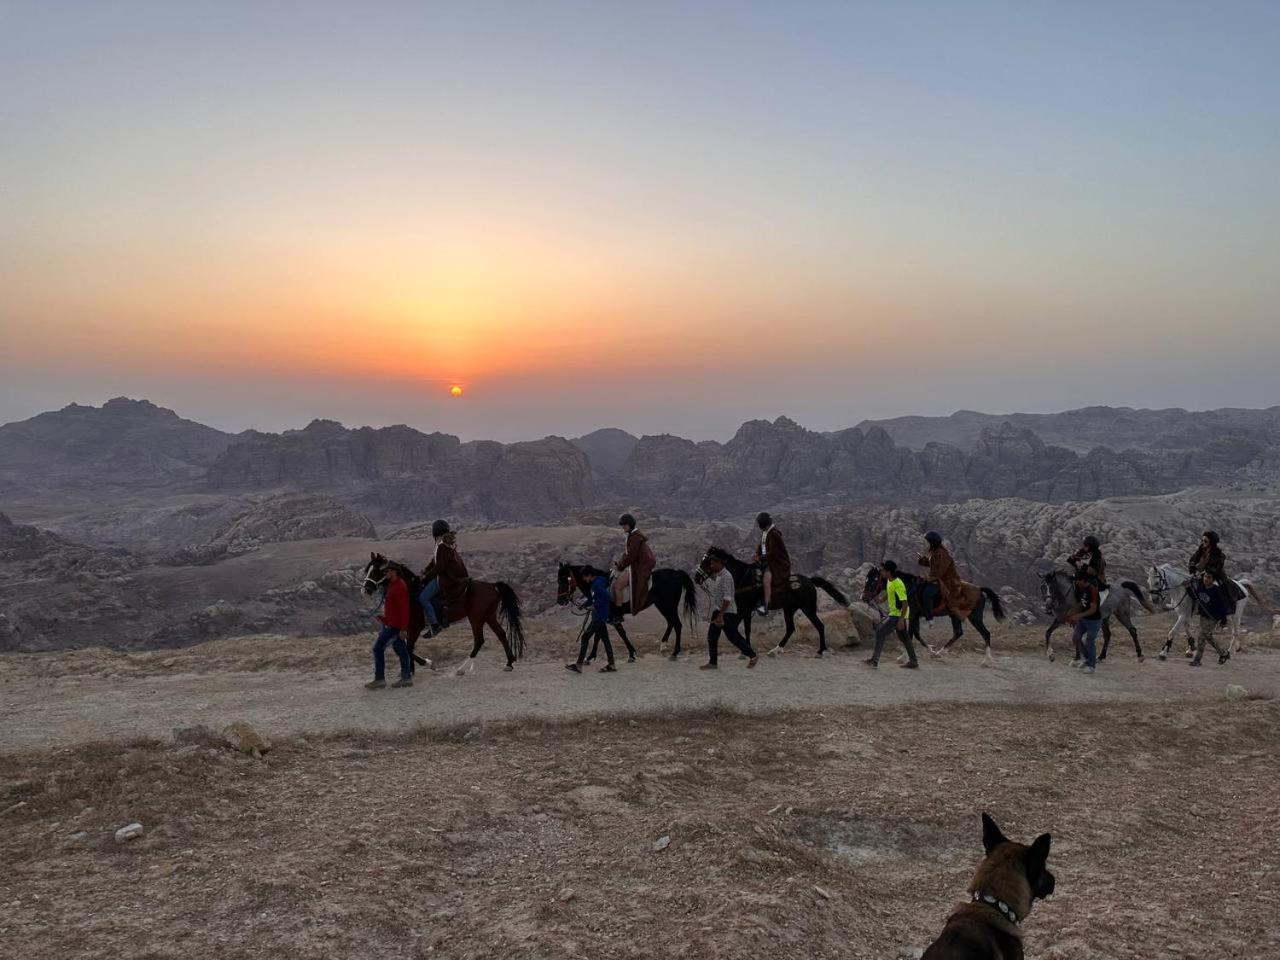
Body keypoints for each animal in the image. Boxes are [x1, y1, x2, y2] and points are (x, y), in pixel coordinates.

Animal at [360, 552, 524, 680]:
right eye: (368, 569)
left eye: (378, 570)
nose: (366, 589)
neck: (409, 593)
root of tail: (492, 586)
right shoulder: (407, 627)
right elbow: (407, 648)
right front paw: (411, 670)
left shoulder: (416, 627)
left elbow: (409, 648)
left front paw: (427, 663)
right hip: (489, 616)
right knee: (501, 634)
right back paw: (509, 663)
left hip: (476, 618)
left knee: (479, 640)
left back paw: (461, 669)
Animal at [558, 563, 701, 660]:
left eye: (564, 579)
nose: (561, 601)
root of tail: (677, 573)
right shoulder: (602, 616)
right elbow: (599, 635)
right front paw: (591, 656)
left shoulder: (610, 616)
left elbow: (620, 634)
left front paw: (632, 653)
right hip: (662, 606)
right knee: (671, 622)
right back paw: (663, 644)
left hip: (668, 606)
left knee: (677, 624)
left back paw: (675, 652)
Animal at [701, 547, 849, 660]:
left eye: (706, 561)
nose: (697, 577)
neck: (743, 579)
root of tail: (810, 581)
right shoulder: (744, 611)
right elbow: (742, 628)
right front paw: (745, 650)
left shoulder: (745, 609)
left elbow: (743, 629)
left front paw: (745, 651)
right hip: (789, 609)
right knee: (790, 628)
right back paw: (776, 650)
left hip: (808, 608)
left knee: (819, 625)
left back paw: (820, 651)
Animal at [865, 568, 1003, 665]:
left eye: (873, 581)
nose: (864, 597)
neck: (908, 588)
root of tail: (979, 589)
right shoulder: (916, 617)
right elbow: (916, 634)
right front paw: (930, 650)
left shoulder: (913, 615)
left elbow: (911, 635)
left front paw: (903, 657)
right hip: (955, 616)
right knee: (958, 632)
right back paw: (939, 652)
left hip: (975, 617)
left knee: (986, 633)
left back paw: (986, 660)